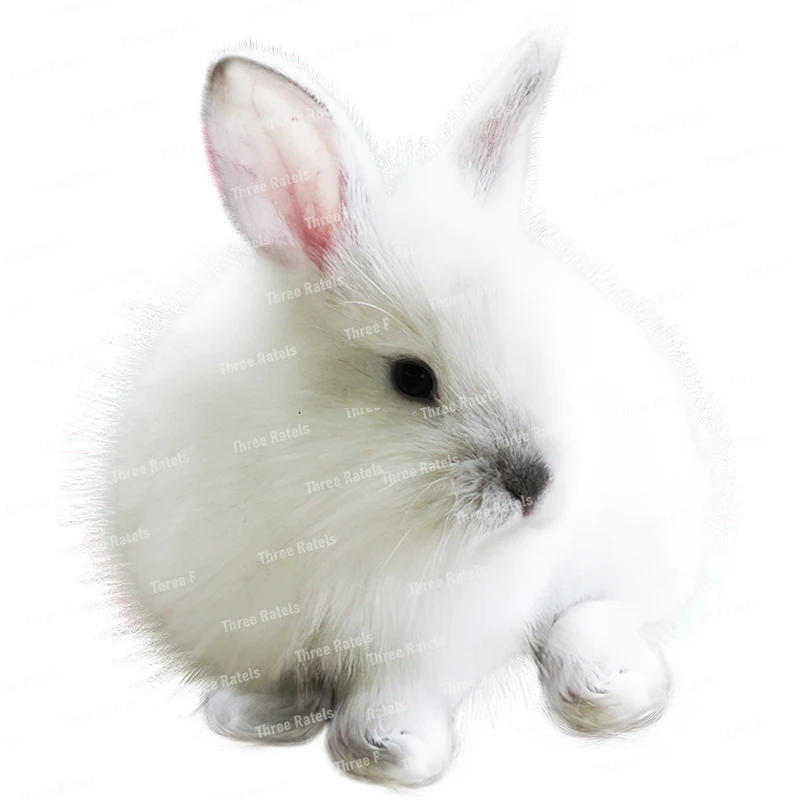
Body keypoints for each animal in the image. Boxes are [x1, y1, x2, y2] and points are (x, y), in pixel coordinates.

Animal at [106, 35, 714, 786]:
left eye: (541, 347)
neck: (341, 499)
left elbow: (398, 691)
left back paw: (608, 688)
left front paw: (388, 752)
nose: (535, 487)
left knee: (598, 612)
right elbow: (278, 678)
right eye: (412, 379)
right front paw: (255, 719)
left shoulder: (431, 643)